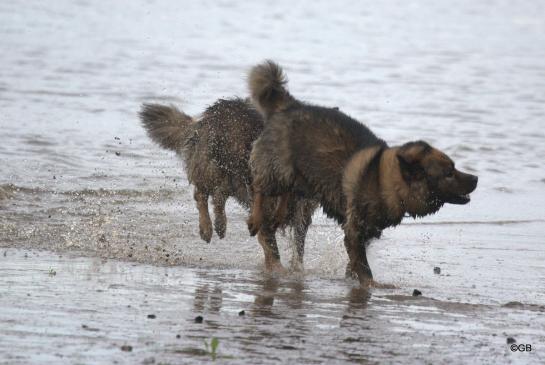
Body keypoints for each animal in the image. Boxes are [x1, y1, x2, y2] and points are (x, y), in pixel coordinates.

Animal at [140, 97, 316, 270]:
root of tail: (208, 115)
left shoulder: (302, 214)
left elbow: (299, 247)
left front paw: (296, 269)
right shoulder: (264, 213)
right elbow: (272, 248)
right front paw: (278, 269)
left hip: (231, 178)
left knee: (219, 197)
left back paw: (220, 224)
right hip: (212, 167)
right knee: (201, 194)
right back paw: (206, 228)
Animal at [246, 61, 476, 286]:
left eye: (454, 168)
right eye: (449, 173)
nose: (476, 178)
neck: (383, 179)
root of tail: (291, 105)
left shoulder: (368, 232)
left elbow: (355, 261)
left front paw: (353, 278)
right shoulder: (355, 230)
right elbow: (363, 266)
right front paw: (370, 284)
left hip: (298, 178)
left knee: (285, 192)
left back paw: (278, 215)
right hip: (277, 170)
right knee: (259, 188)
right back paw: (256, 219)